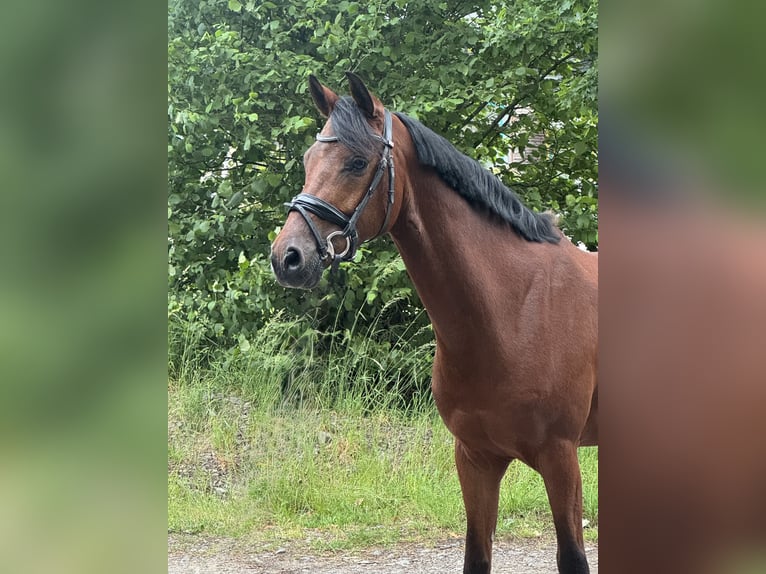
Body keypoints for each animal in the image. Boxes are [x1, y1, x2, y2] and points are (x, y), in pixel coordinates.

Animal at [270, 72, 598, 574]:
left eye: (357, 162)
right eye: (309, 160)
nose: (287, 257)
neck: (516, 310)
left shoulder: (561, 459)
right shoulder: (475, 459)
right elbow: (476, 557)